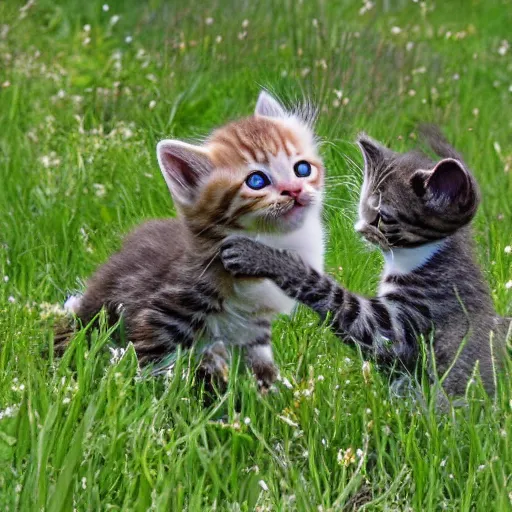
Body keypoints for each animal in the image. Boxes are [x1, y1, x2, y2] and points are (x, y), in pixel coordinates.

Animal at [58, 91, 326, 388]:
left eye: (302, 169)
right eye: (256, 181)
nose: (295, 190)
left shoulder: (253, 326)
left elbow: (261, 364)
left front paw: (273, 392)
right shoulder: (167, 308)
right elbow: (152, 362)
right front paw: (155, 393)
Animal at [221, 126, 512, 398]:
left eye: (382, 217)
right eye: (363, 207)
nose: (359, 229)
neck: (422, 254)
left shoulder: (408, 318)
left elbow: (336, 298)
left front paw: (260, 254)